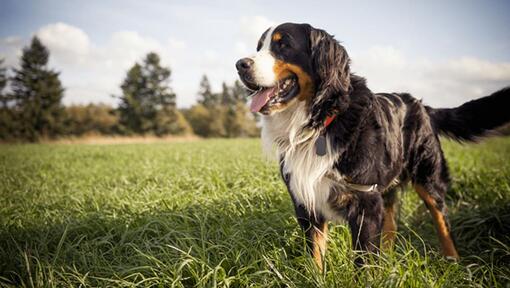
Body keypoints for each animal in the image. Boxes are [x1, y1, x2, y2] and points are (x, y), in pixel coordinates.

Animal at [236, 23, 510, 270]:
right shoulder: (307, 204)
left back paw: (453, 262)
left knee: (442, 220)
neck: (321, 122)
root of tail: (422, 105)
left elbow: (363, 262)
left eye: (283, 45)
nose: (240, 64)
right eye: (259, 47)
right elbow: (315, 257)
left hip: (428, 179)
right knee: (391, 226)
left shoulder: (365, 203)